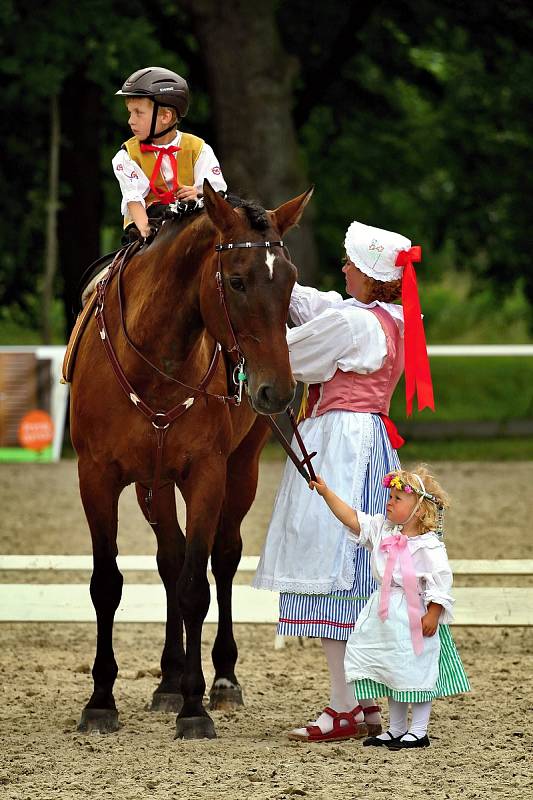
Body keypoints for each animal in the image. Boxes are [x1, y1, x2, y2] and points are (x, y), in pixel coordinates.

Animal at [70, 181, 312, 736]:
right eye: (237, 280)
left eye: (290, 282)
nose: (277, 390)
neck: (155, 360)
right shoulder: (96, 477)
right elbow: (107, 584)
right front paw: (101, 700)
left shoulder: (207, 474)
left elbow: (196, 585)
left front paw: (195, 706)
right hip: (153, 483)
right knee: (169, 559)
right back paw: (167, 679)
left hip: (240, 470)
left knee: (221, 559)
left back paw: (221, 678)